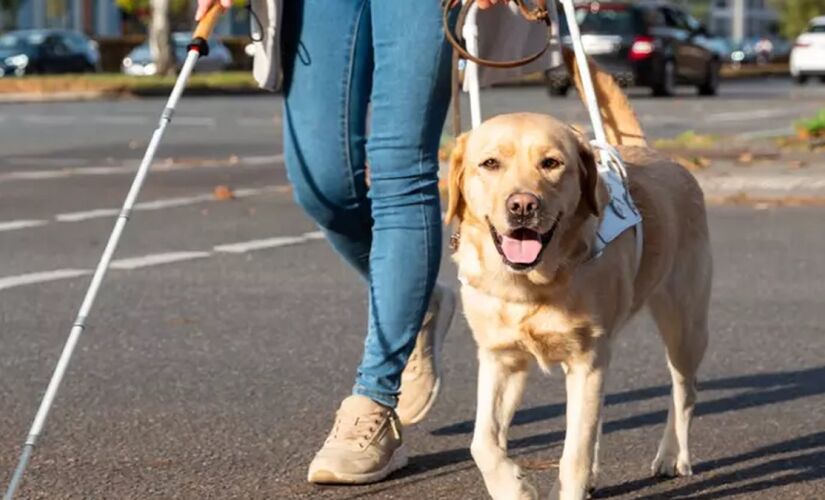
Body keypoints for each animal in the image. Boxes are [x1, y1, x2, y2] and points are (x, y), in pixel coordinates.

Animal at [444, 56, 708, 498]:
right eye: (490, 163)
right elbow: (482, 442)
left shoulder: (586, 361)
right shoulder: (502, 359)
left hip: (684, 327)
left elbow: (575, 455)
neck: (533, 286)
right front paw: (513, 486)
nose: (522, 205)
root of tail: (652, 152)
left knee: (683, 392)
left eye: (551, 163)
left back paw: (673, 455)